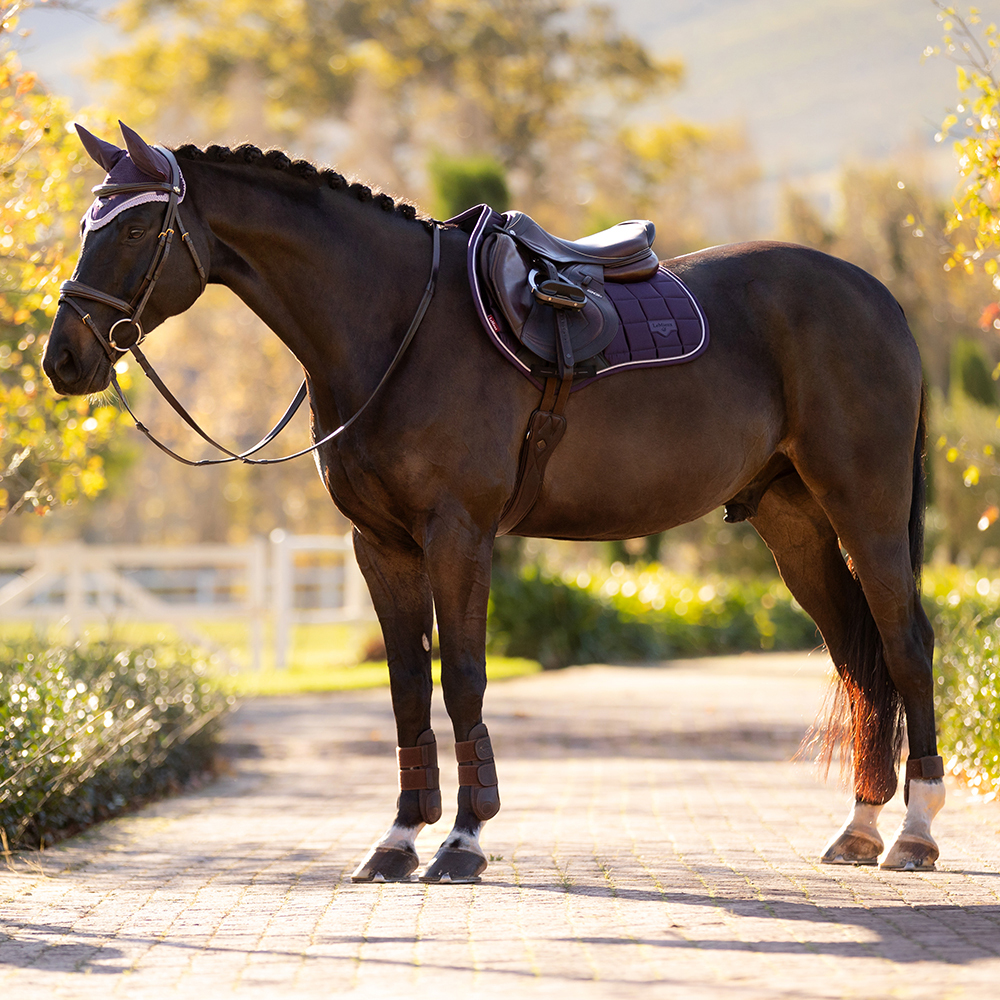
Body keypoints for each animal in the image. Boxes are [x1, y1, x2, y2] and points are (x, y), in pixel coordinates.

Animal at [43, 122, 944, 883]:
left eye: (132, 231)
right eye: (90, 224)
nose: (64, 360)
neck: (397, 326)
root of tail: (880, 300)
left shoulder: (458, 534)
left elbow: (463, 681)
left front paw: (464, 840)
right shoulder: (381, 545)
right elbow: (408, 687)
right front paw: (398, 838)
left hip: (864, 507)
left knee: (904, 644)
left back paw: (915, 832)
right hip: (793, 522)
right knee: (856, 657)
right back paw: (859, 827)